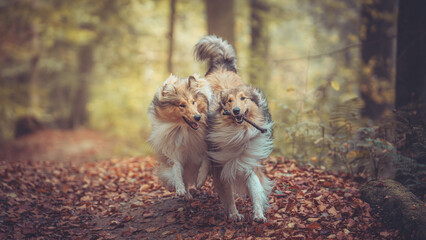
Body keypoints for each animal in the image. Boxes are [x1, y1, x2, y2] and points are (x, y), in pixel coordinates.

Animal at [195, 35, 274, 221]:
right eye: (229, 101)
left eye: (243, 98)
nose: (237, 111)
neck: (238, 133)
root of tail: (222, 63)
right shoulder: (222, 164)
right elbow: (228, 192)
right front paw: (234, 213)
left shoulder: (248, 160)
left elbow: (255, 189)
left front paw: (258, 214)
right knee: (205, 155)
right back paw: (200, 178)